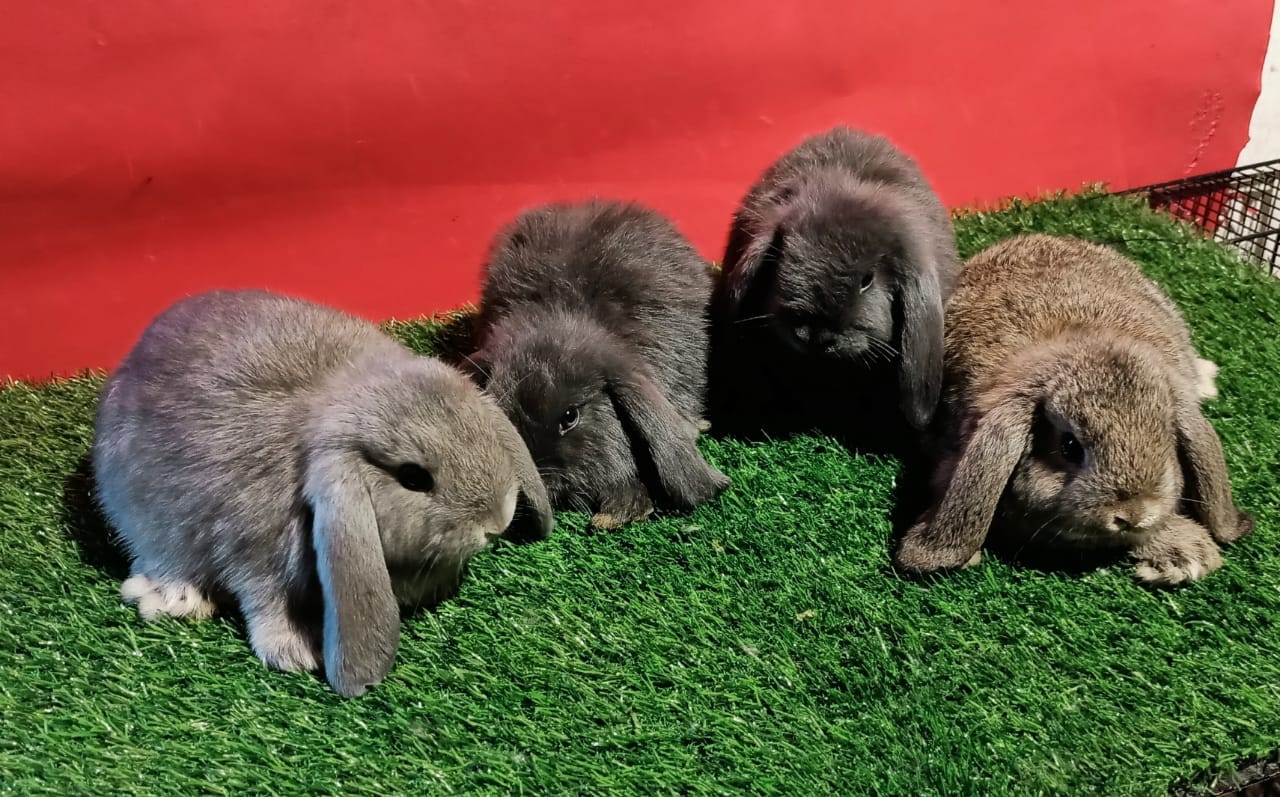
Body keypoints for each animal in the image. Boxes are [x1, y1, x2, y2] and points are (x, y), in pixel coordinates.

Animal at [92, 289, 554, 698]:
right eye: (413, 477)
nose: (498, 522)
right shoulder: (251, 554)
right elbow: (264, 600)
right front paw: (295, 653)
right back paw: (175, 598)